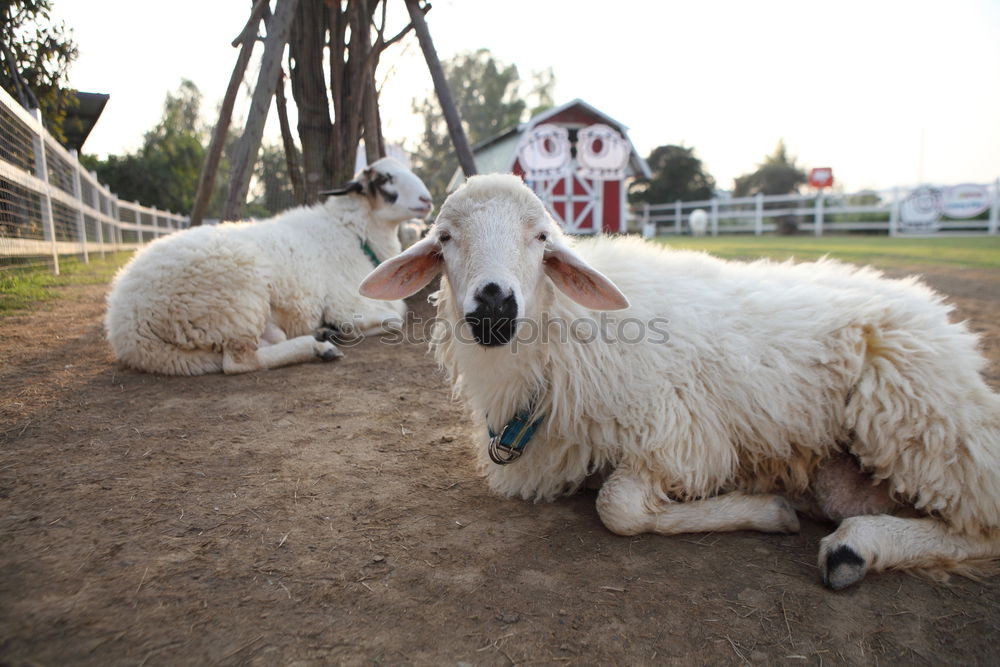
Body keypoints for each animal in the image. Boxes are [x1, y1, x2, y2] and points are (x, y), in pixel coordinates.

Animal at [107, 158, 432, 376]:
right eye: (385, 179)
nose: (427, 199)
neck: (352, 232)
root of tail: (127, 327)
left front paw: (332, 330)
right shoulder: (346, 302)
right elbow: (395, 318)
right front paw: (345, 330)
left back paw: (321, 337)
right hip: (237, 301)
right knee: (239, 361)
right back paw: (318, 347)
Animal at [364, 174, 1000, 588]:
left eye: (542, 237)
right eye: (445, 237)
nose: (494, 306)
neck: (561, 335)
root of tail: (938, 314)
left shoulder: (683, 435)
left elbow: (619, 507)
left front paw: (766, 510)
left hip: (924, 424)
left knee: (984, 522)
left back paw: (853, 550)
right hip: (852, 466)